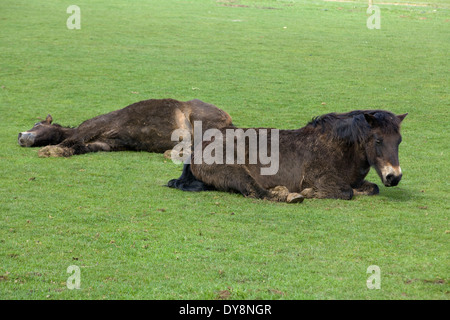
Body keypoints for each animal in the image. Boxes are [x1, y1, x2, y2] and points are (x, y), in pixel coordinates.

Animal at [18, 97, 232, 158]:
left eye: (38, 124)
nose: (20, 135)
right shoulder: (105, 144)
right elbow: (78, 147)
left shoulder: (91, 128)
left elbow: (71, 140)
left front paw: (49, 150)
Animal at [169, 109, 408, 201]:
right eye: (378, 140)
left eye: (399, 141)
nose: (394, 177)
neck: (335, 148)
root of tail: (201, 146)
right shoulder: (322, 178)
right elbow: (346, 192)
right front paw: (311, 192)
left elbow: (372, 188)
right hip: (234, 171)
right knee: (256, 191)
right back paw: (289, 195)